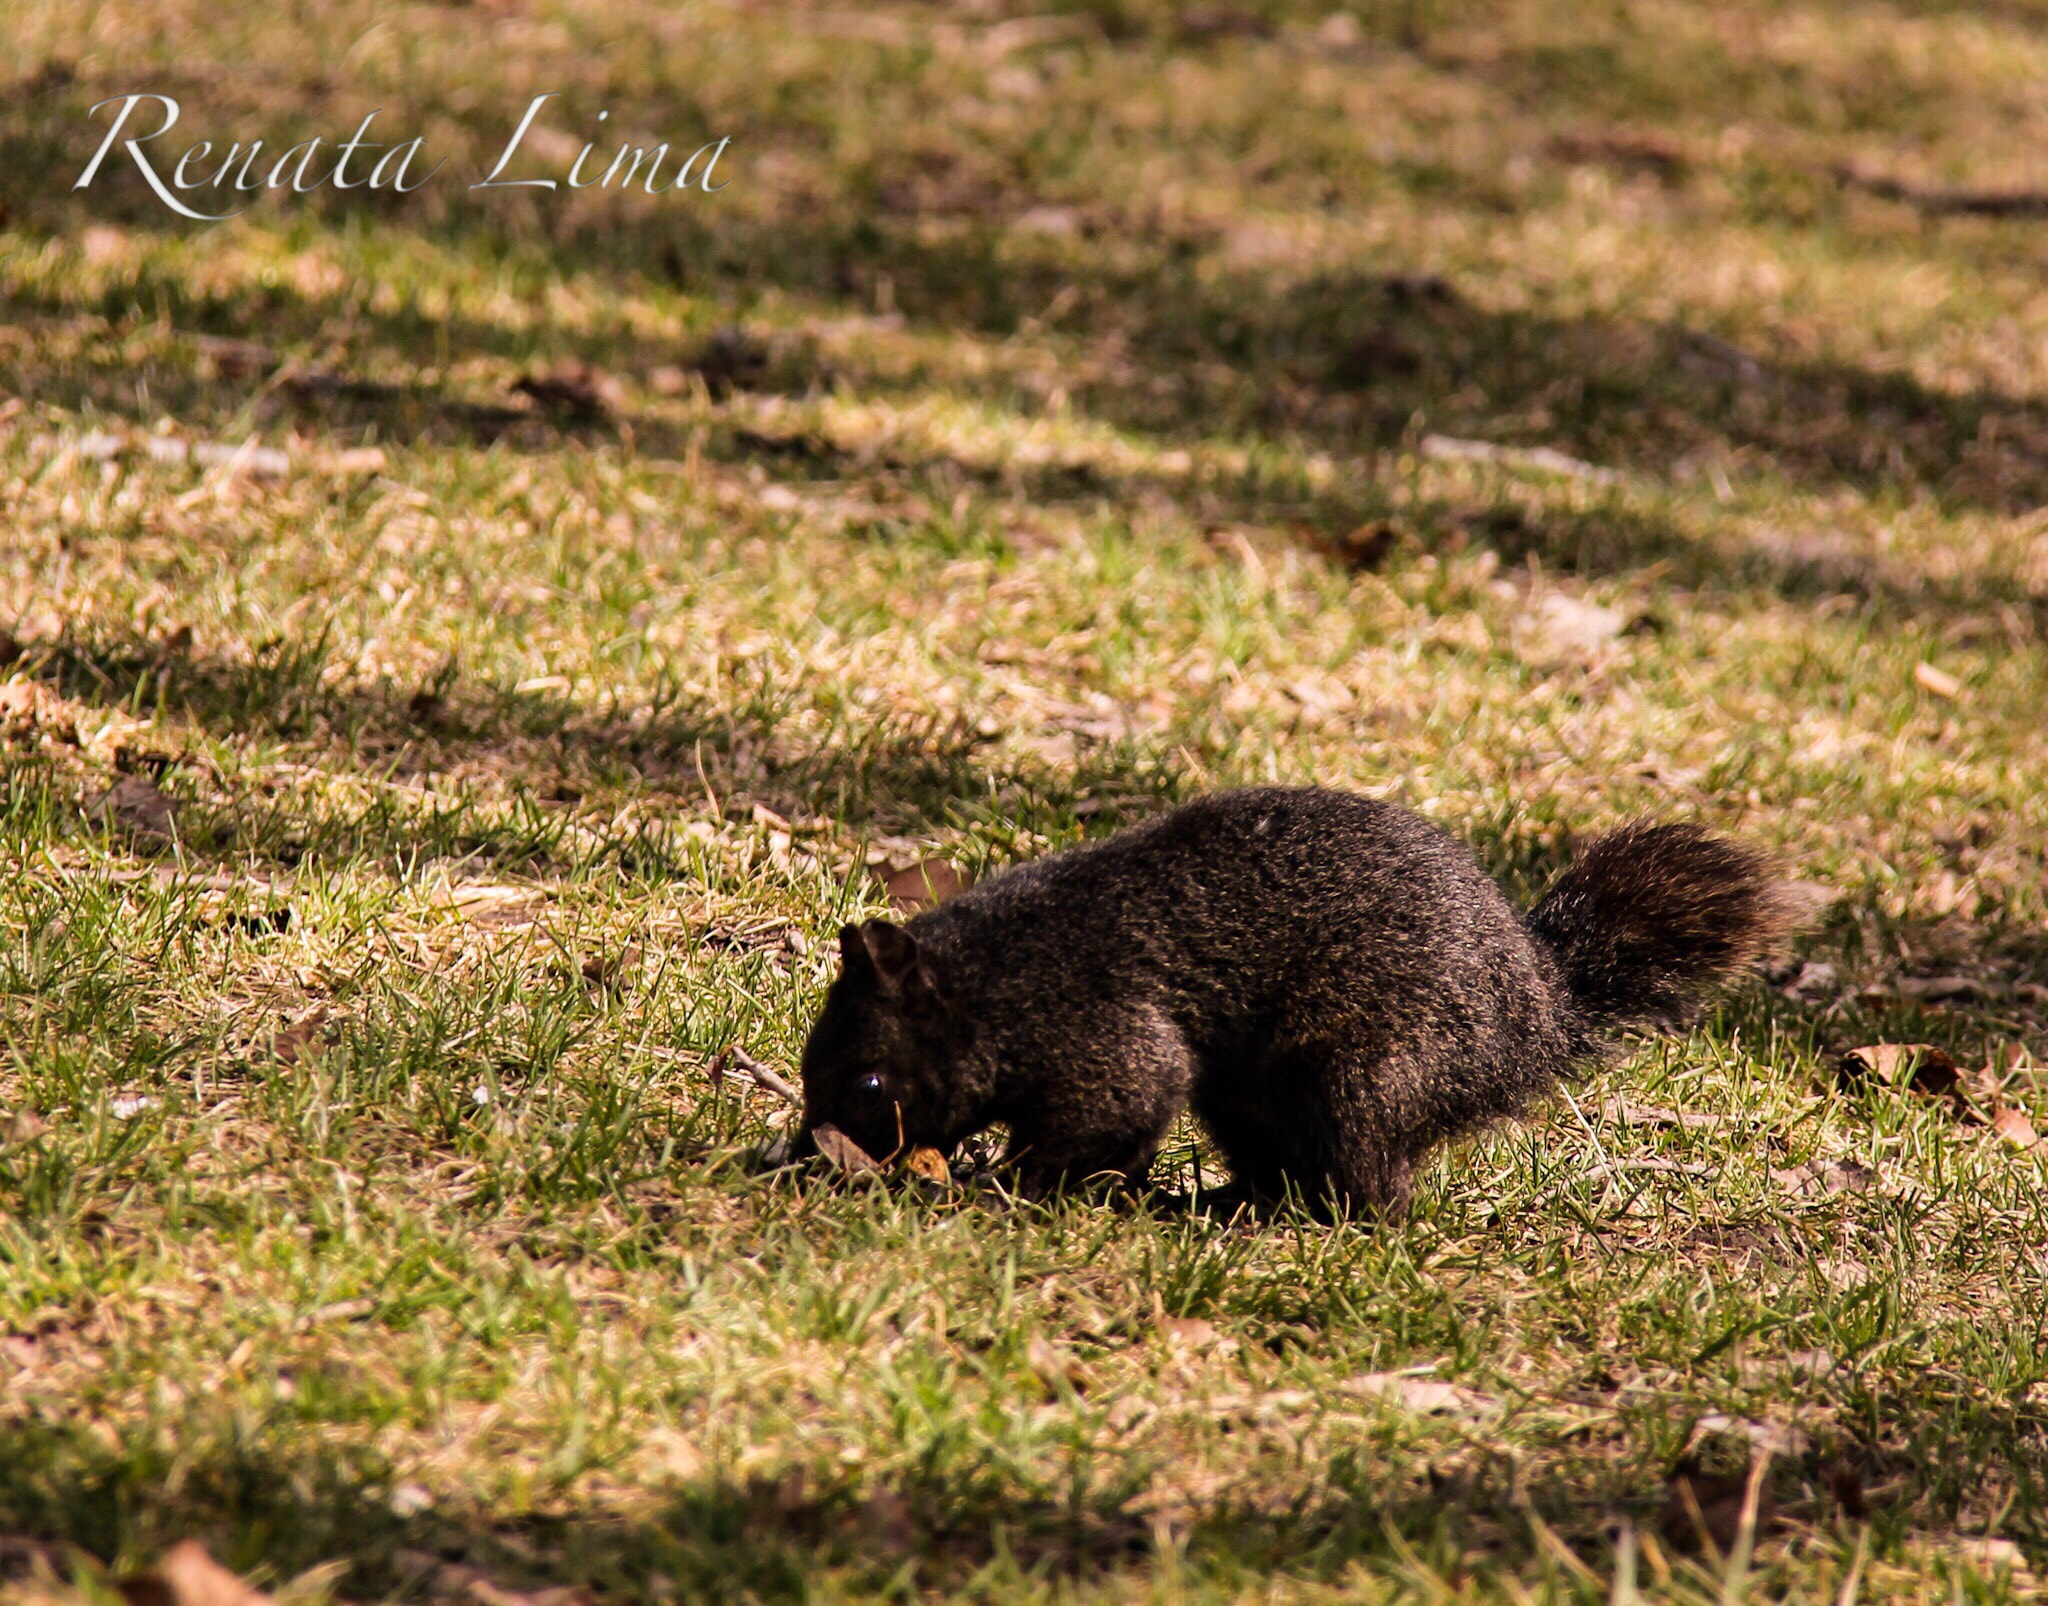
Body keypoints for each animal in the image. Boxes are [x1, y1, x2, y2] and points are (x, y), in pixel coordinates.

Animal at [793, 787, 1802, 1214]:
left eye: (873, 1084)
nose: (813, 1159)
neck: (997, 985)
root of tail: (1537, 1017)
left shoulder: (1103, 1038)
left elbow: (1108, 1118)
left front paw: (1007, 1187)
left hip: (1374, 1069)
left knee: (1375, 1188)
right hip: (1246, 1097)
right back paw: (1223, 1200)